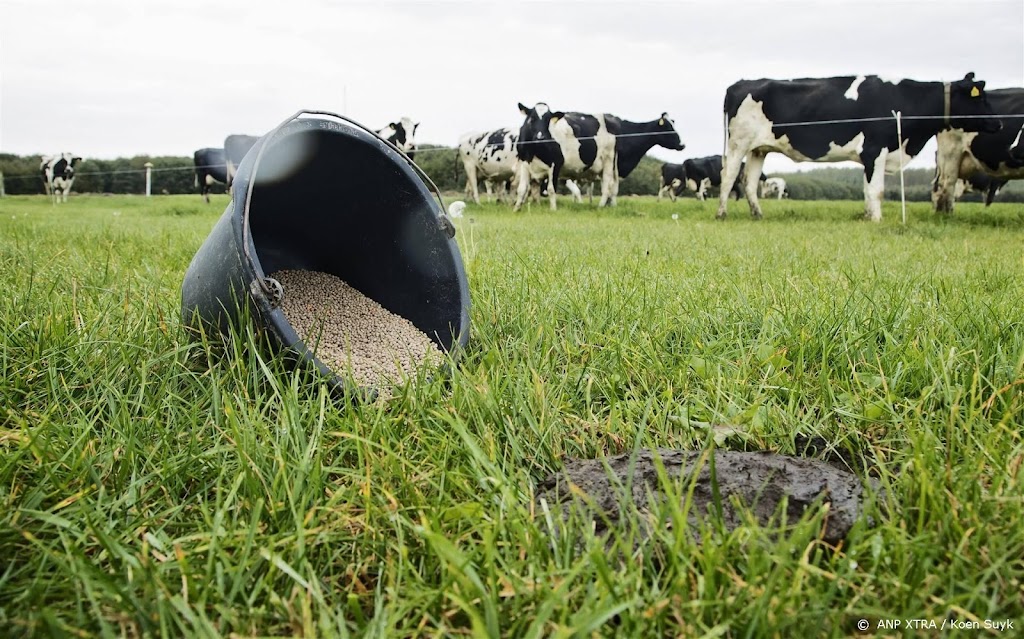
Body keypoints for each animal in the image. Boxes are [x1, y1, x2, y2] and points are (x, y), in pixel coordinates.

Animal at [516, 103, 684, 210]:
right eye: (668, 127)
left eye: (548, 120)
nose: (682, 145)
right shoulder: (527, 163)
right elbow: (524, 188)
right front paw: (518, 208)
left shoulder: (555, 164)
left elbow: (550, 189)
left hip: (608, 160)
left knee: (607, 184)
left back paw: (601, 205)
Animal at [720, 72, 999, 221]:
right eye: (981, 98)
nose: (999, 124)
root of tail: (739, 83)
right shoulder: (875, 149)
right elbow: (877, 191)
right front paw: (876, 220)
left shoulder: (872, 156)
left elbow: (868, 190)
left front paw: (867, 216)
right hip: (738, 143)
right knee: (729, 177)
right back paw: (721, 213)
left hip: (758, 149)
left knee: (749, 182)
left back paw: (758, 214)